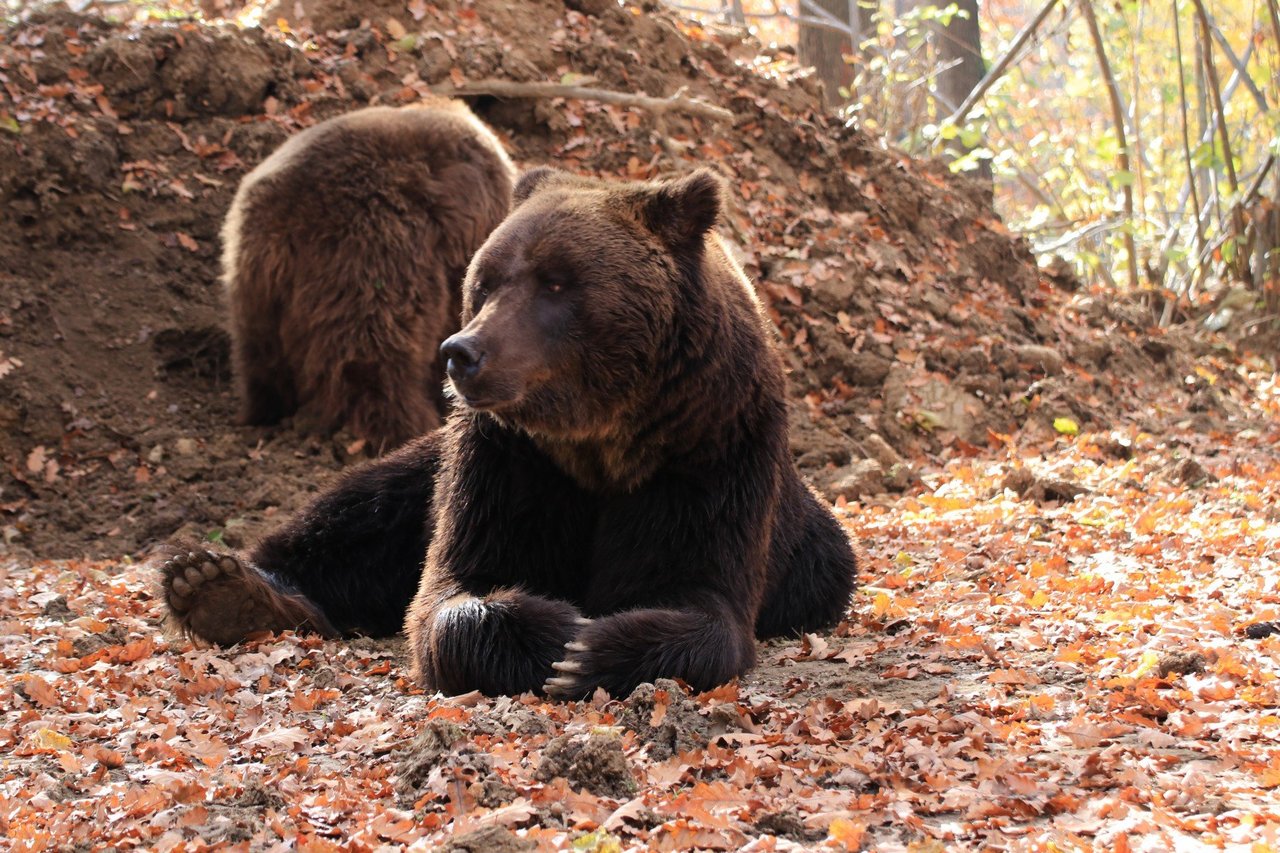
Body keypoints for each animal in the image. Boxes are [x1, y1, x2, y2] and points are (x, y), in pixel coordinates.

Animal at [162, 167, 860, 696]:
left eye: (556, 281)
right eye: (488, 279)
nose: (462, 352)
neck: (604, 438)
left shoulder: (708, 446)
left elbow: (702, 597)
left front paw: (589, 648)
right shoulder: (510, 459)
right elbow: (457, 584)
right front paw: (553, 636)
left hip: (812, 551)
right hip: (424, 469)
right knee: (357, 514)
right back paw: (220, 584)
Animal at [225, 100, 514, 450]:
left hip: (255, 279)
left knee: (257, 351)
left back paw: (263, 410)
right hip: (373, 248)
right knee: (374, 354)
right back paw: (403, 424)